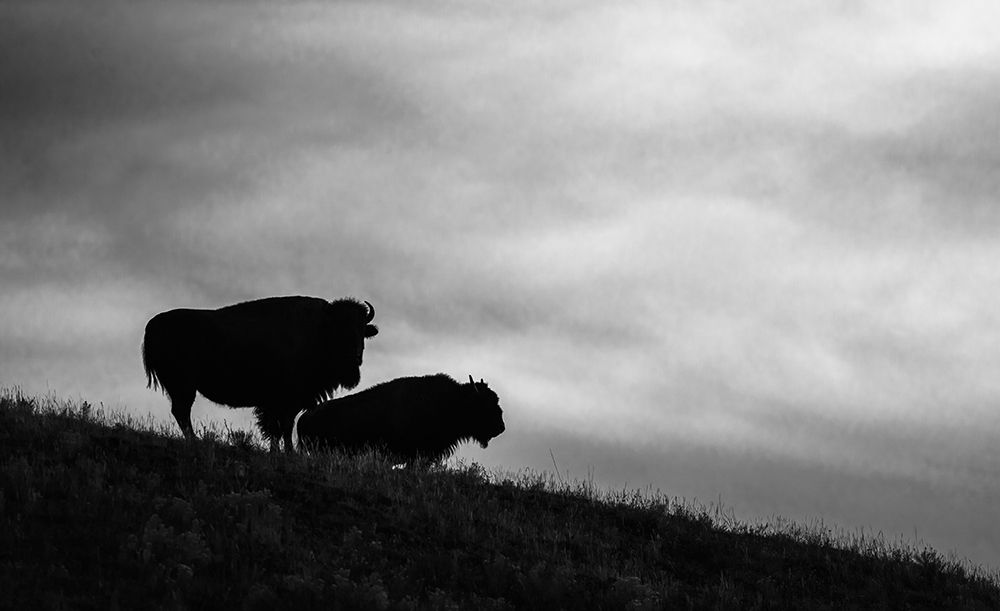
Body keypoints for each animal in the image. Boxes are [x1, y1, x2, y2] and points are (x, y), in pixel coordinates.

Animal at [142, 295, 378, 451]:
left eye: (361, 331)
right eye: (339, 330)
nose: (356, 357)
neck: (319, 331)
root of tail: (152, 326)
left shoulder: (289, 401)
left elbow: (284, 426)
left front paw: (285, 452)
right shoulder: (278, 400)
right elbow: (278, 426)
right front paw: (284, 452)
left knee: (180, 412)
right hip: (183, 385)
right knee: (182, 412)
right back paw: (194, 442)